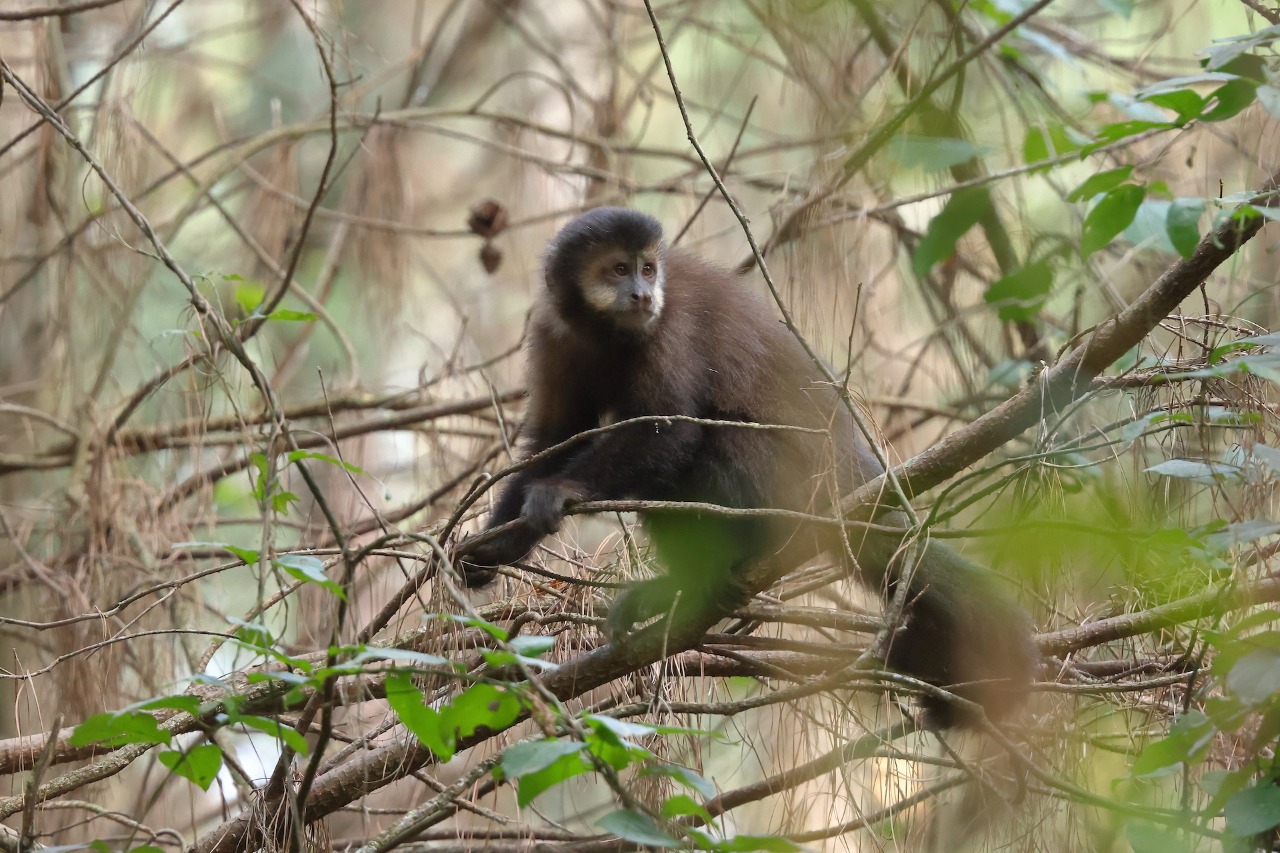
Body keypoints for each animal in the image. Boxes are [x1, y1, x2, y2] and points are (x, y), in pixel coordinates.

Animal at [457, 207, 1034, 728]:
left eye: (648, 269)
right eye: (618, 269)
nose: (642, 294)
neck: (606, 333)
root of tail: (855, 477)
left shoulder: (669, 328)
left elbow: (670, 432)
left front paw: (561, 491)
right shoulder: (553, 333)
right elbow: (552, 440)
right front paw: (496, 546)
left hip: (797, 486)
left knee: (714, 446)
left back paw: (730, 566)